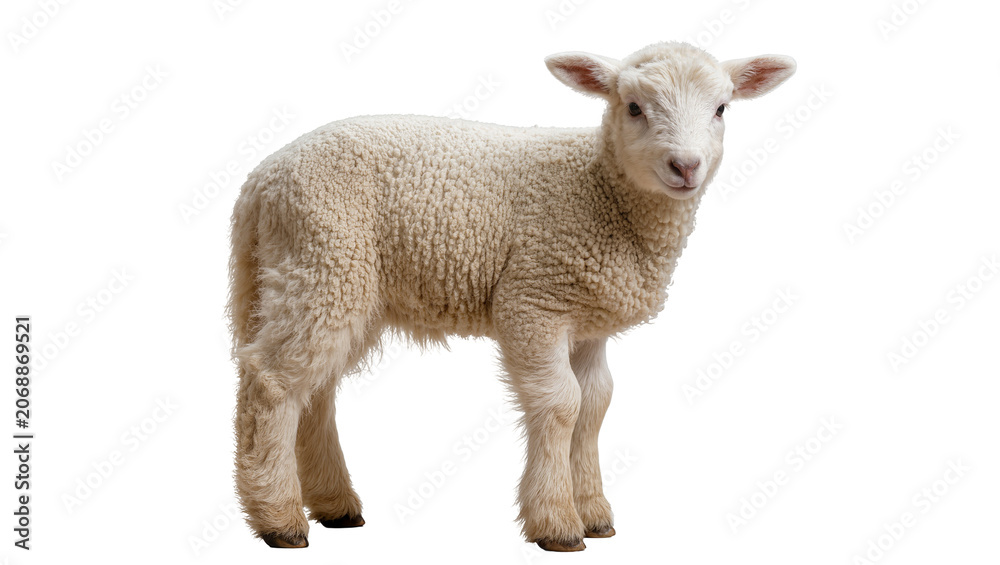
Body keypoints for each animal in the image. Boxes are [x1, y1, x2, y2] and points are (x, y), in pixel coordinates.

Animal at [229, 40, 795, 551]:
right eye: (634, 107)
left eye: (721, 109)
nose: (685, 166)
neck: (602, 192)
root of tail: (261, 182)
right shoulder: (534, 300)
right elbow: (562, 404)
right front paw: (558, 522)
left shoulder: (587, 319)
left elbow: (595, 404)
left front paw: (594, 514)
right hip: (323, 261)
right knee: (272, 382)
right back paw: (279, 518)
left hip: (340, 284)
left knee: (315, 391)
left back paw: (334, 505)